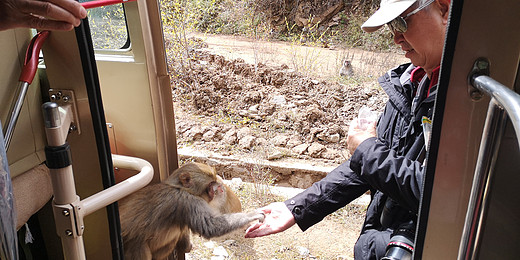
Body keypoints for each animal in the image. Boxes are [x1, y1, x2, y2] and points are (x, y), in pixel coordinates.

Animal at [119, 161, 264, 258]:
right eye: (211, 184)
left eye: (214, 182)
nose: (218, 188)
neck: (180, 188)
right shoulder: (189, 202)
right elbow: (210, 226)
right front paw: (253, 215)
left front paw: (186, 246)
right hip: (134, 248)